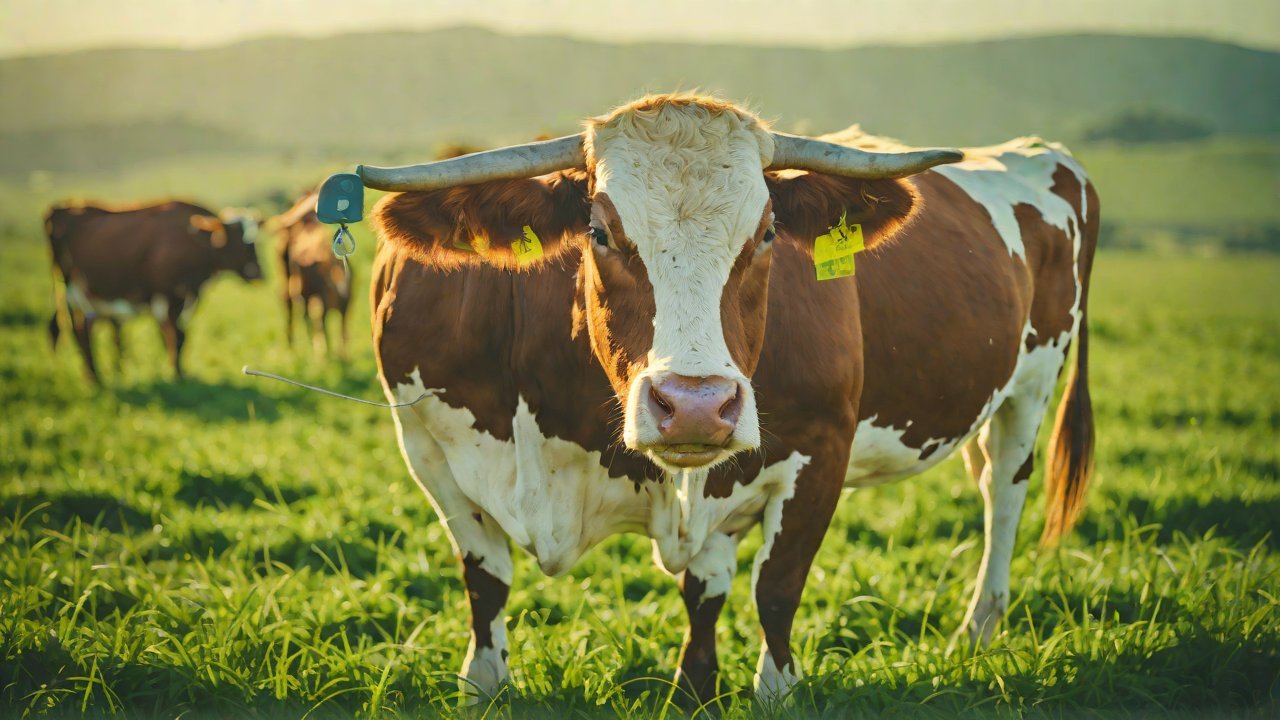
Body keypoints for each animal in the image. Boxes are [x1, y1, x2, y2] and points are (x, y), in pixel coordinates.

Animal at [46, 200, 261, 383]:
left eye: (255, 241)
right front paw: (176, 375)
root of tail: (60, 209)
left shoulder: (189, 298)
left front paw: (178, 373)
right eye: (238, 240)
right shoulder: (169, 298)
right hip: (73, 291)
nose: (259, 273)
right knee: (78, 331)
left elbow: (178, 337)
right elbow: (175, 337)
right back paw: (93, 379)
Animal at [362, 94, 1098, 705]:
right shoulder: (428, 450)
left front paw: (774, 688)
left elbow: (776, 589)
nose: (694, 404)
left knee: (1003, 491)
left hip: (1032, 384)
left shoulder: (821, 449)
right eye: (600, 232)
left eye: (767, 233)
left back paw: (980, 629)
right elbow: (490, 581)